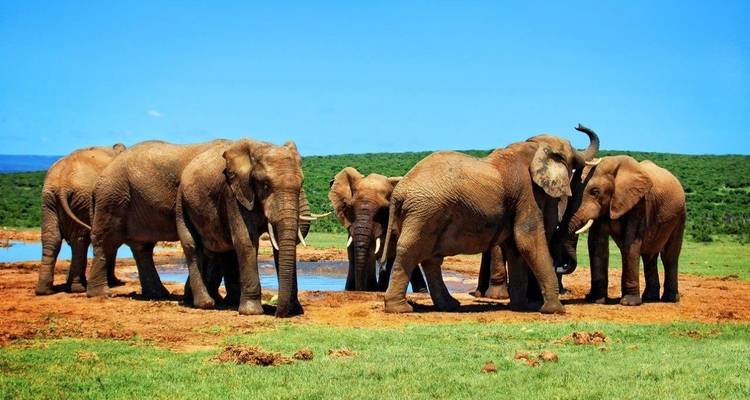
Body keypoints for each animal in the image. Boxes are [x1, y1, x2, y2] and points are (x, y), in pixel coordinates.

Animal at [35, 143, 127, 295]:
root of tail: (62, 182)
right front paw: (115, 282)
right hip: (81, 199)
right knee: (80, 239)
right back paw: (78, 288)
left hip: (49, 200)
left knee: (52, 238)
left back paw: (44, 291)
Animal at [86, 139, 230, 299]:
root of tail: (97, 183)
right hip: (113, 197)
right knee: (107, 241)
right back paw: (101, 294)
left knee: (142, 247)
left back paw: (157, 294)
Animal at [176, 139, 308, 317]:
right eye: (266, 185)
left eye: (301, 185)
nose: (278, 314)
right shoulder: (233, 192)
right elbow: (245, 240)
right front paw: (252, 312)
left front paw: (294, 310)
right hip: (181, 202)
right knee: (192, 245)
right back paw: (205, 304)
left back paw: (228, 301)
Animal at [381, 125, 599, 314]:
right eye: (571, 156)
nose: (579, 125)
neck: (533, 146)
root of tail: (399, 191)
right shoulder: (527, 193)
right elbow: (528, 240)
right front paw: (555, 310)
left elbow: (515, 247)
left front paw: (521, 307)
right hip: (424, 211)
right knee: (411, 250)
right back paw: (400, 309)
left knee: (431, 258)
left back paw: (449, 305)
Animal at [562, 156, 686, 305]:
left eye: (595, 192)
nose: (564, 265)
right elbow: (597, 245)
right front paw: (596, 300)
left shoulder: (639, 203)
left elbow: (630, 243)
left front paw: (629, 303)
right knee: (649, 256)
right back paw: (650, 298)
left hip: (680, 215)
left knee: (669, 256)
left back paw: (669, 299)